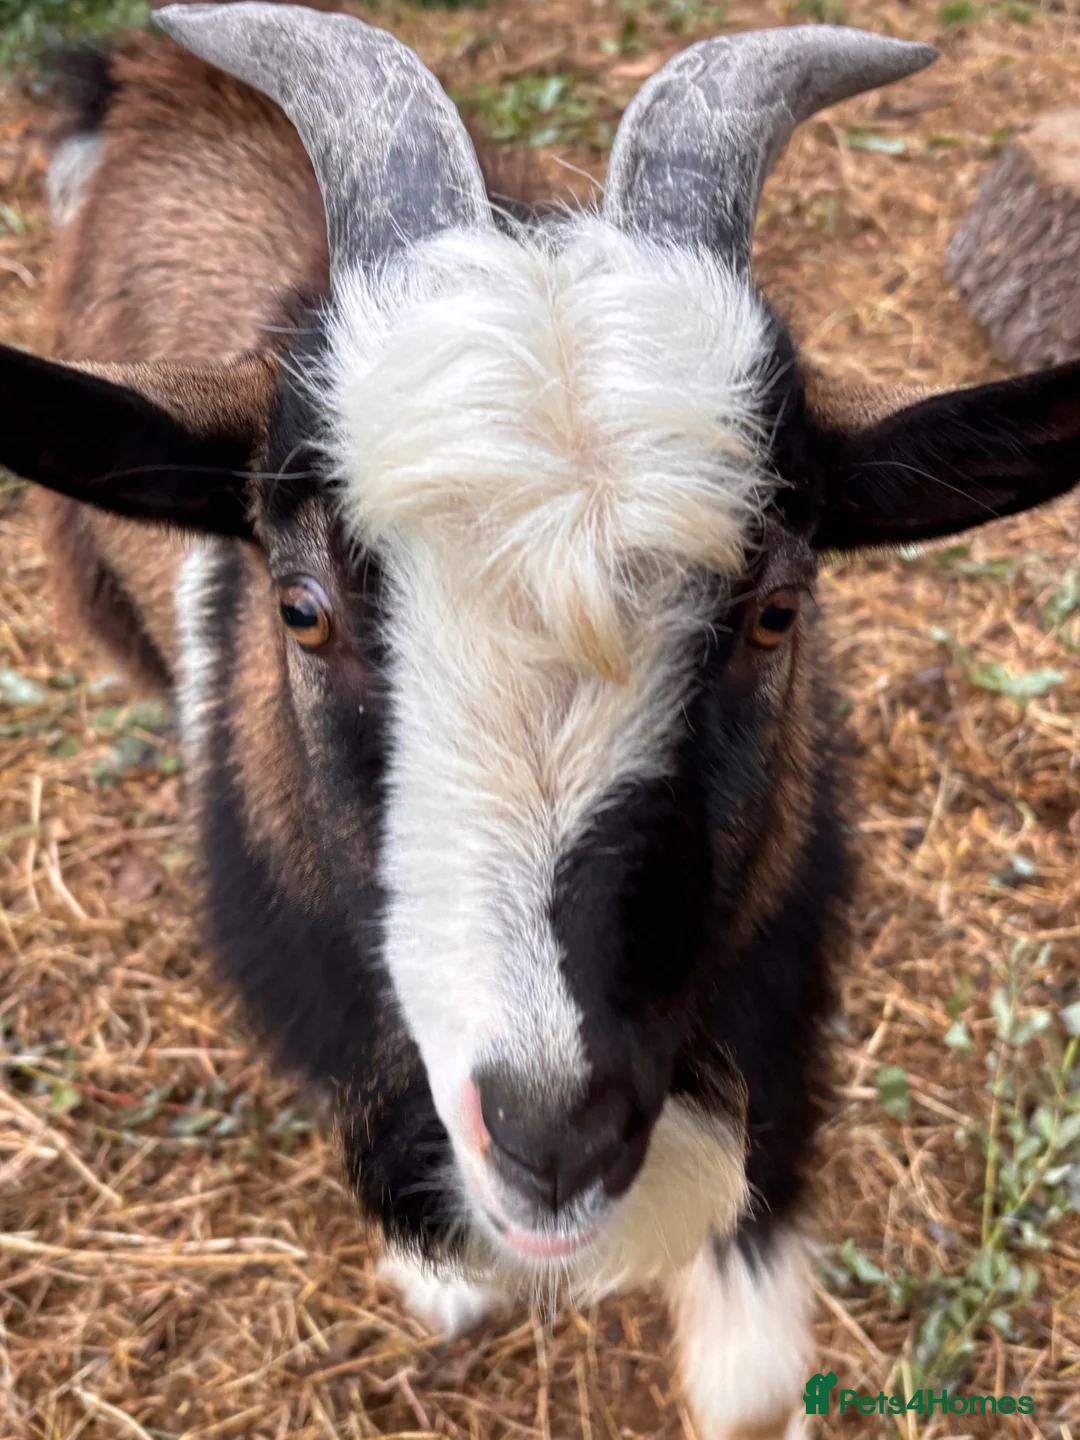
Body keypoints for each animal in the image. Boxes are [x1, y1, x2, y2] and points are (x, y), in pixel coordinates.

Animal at [4, 6, 1080, 1436]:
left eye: (777, 609)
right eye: (301, 607)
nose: (553, 1133)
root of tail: (146, 75)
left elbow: (753, 1377)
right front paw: (437, 1276)